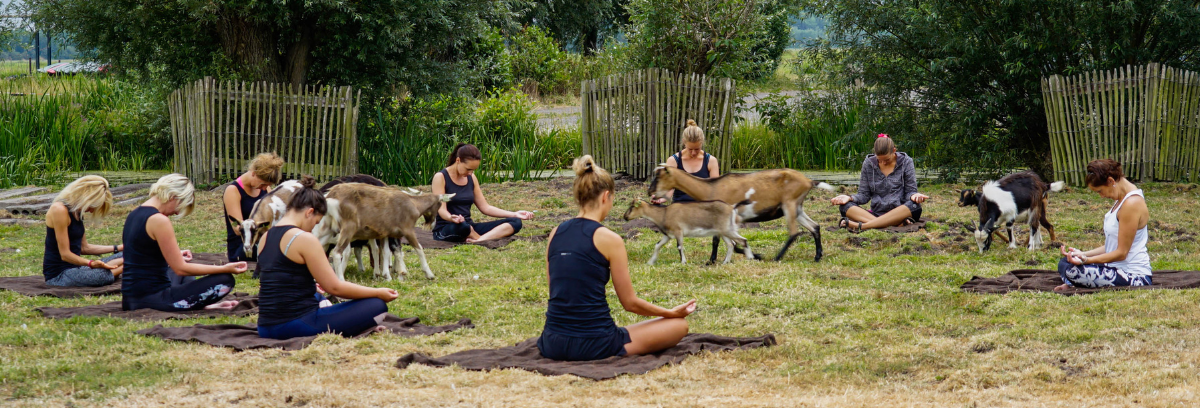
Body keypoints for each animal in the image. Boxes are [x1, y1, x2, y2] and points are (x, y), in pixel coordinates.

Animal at [316, 183, 451, 280]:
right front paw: (429, 274)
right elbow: (419, 249)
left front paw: (387, 275)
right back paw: (341, 280)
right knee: (337, 253)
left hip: (327, 229)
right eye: (439, 205)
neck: (413, 203)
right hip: (348, 229)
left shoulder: (386, 233)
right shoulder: (408, 230)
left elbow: (385, 251)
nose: (432, 225)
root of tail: (331, 196)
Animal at [648, 165, 835, 261]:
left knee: (794, 232)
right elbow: (720, 240)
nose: (650, 191)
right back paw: (817, 256)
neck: (711, 187)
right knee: (815, 227)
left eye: (658, 177)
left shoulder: (732, 217)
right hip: (797, 208)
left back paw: (777, 257)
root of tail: (809, 181)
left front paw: (756, 255)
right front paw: (712, 260)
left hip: (789, 204)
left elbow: (729, 241)